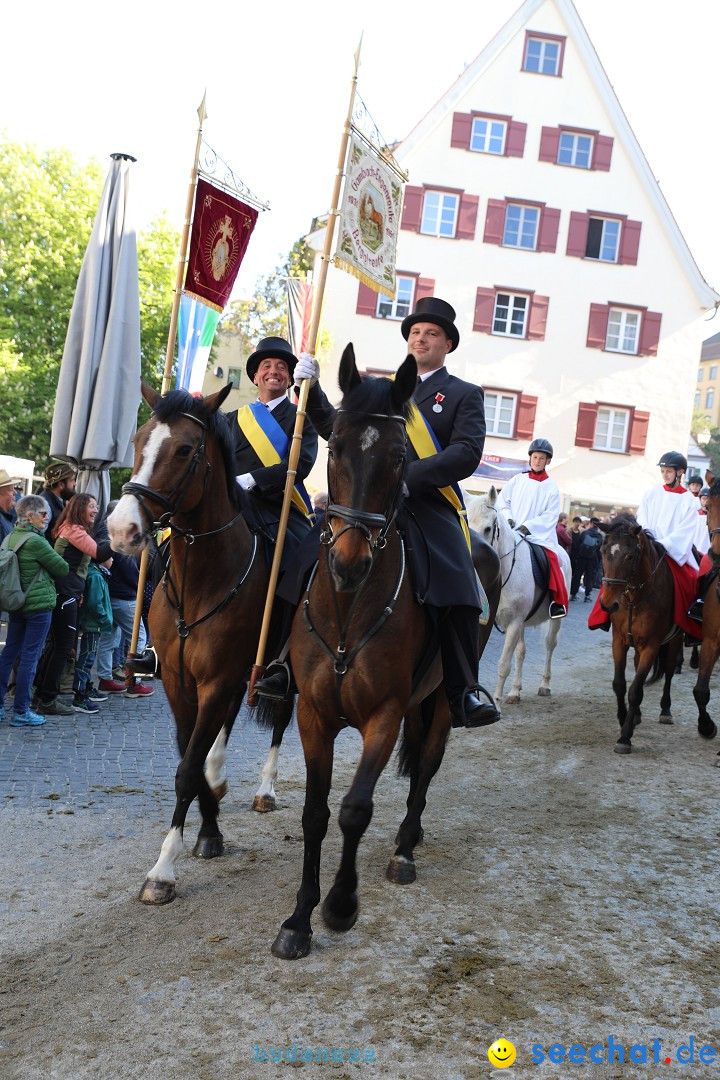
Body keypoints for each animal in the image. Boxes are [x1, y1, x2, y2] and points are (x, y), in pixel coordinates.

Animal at [107, 380, 293, 902]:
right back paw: (220, 774)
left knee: (282, 716)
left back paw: (265, 789)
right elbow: (186, 750)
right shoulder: (178, 679)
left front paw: (163, 871)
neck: (200, 580)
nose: (121, 530)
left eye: (185, 450)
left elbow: (186, 767)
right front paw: (209, 826)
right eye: (138, 440)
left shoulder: (216, 679)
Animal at [269, 347, 500, 963]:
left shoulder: (385, 715)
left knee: (426, 768)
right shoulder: (314, 715)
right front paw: (298, 919)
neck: (350, 607)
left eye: (400, 457)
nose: (349, 562)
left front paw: (340, 906)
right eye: (334, 447)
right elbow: (316, 813)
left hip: (439, 702)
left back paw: (404, 849)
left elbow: (355, 808)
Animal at [468, 490, 574, 708]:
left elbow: (503, 664)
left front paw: (496, 700)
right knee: (521, 652)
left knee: (550, 645)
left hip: (555, 619)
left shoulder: (515, 622)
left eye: (488, 528)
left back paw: (545, 685)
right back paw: (515, 690)